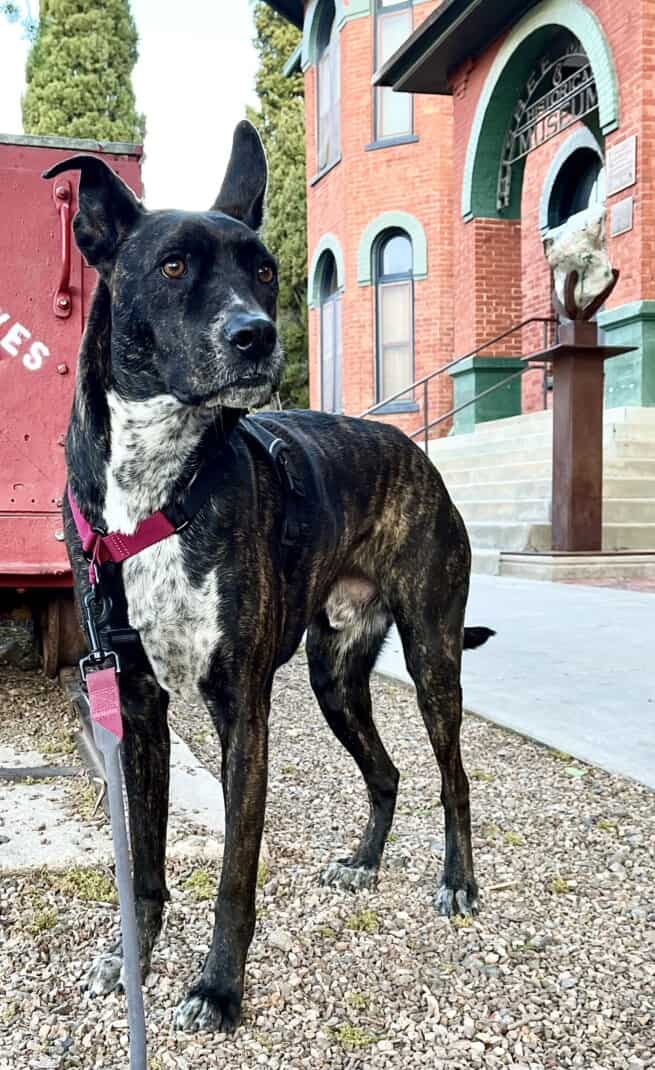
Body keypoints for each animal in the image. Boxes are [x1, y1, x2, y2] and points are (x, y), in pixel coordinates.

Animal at [44, 121, 492, 1031]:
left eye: (263, 270)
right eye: (173, 266)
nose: (255, 335)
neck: (155, 486)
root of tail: (413, 454)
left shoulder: (241, 709)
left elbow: (233, 876)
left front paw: (217, 988)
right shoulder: (135, 704)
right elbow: (143, 862)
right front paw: (132, 957)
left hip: (432, 657)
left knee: (451, 778)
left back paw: (455, 880)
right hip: (334, 677)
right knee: (387, 772)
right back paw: (363, 862)